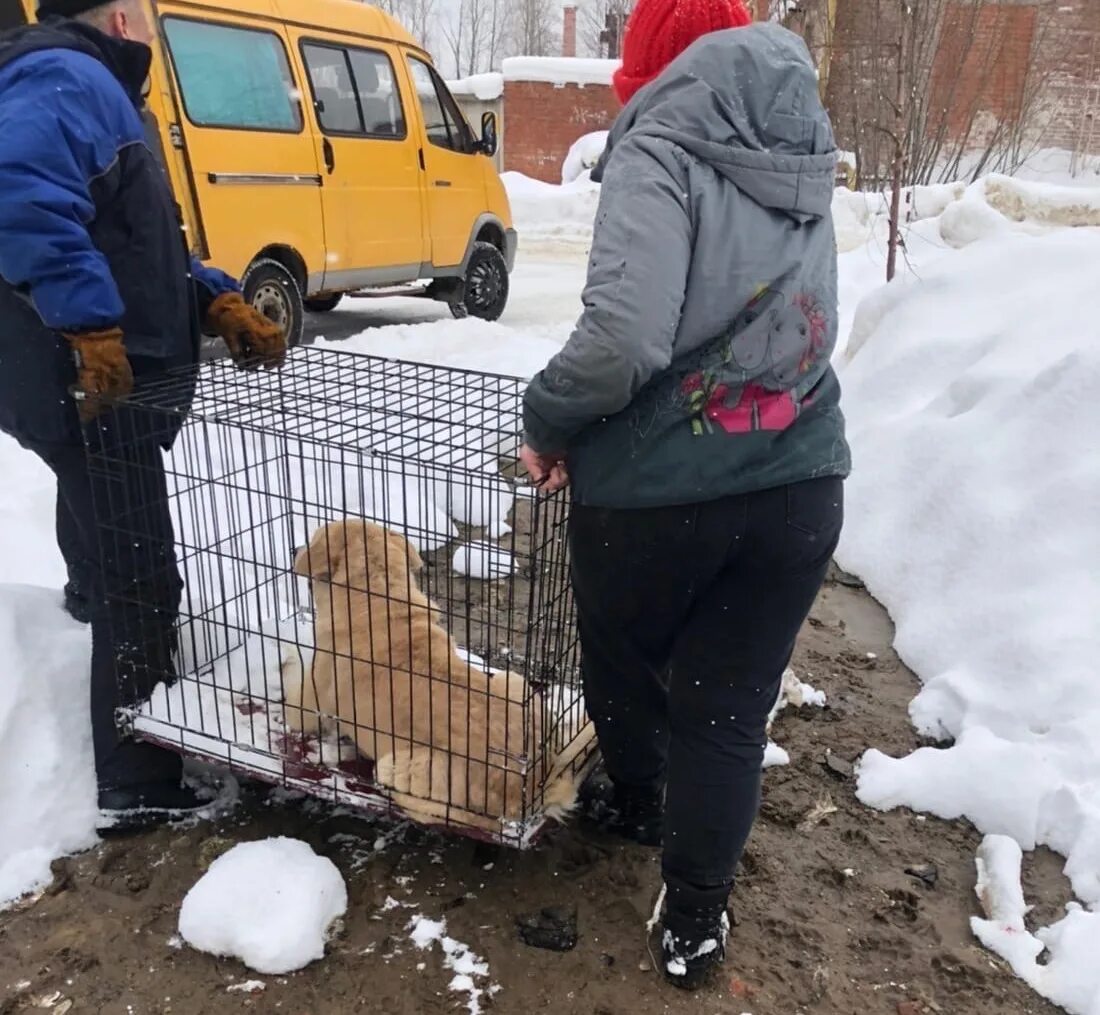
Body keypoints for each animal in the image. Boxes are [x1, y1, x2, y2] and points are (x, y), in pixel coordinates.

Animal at [281, 523, 585, 826]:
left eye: (313, 537)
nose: (293, 549)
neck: (378, 596)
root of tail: (533, 786)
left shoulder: (305, 706)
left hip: (397, 766)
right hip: (512, 681)